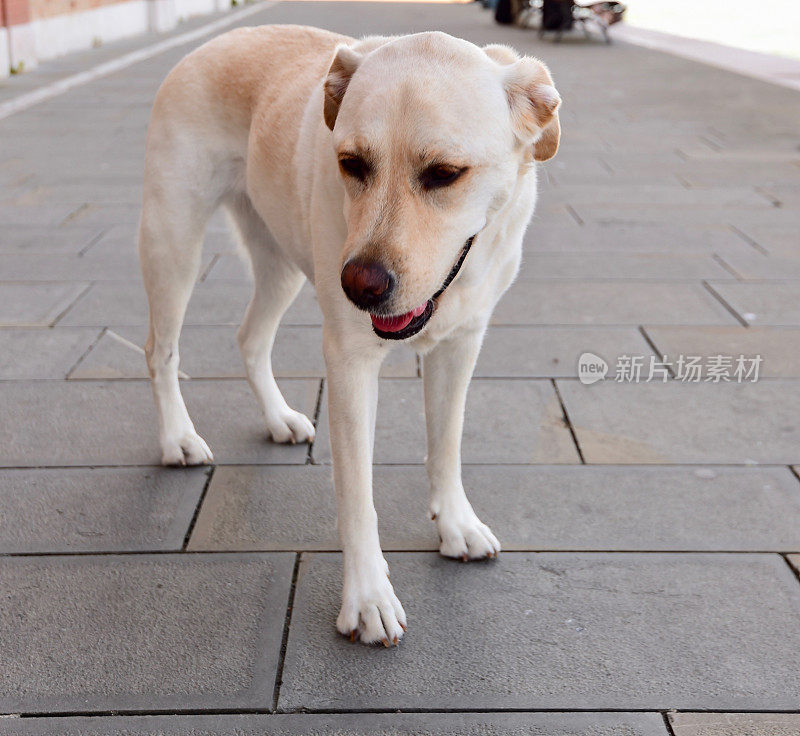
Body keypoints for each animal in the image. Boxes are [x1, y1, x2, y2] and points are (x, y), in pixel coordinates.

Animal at [139, 24, 564, 644]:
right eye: (352, 163)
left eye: (445, 174)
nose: (359, 287)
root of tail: (219, 38)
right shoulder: (349, 364)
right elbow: (357, 495)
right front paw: (367, 598)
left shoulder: (462, 345)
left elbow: (447, 443)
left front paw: (455, 523)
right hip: (173, 243)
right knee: (161, 350)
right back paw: (177, 438)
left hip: (282, 264)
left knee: (249, 338)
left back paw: (278, 418)